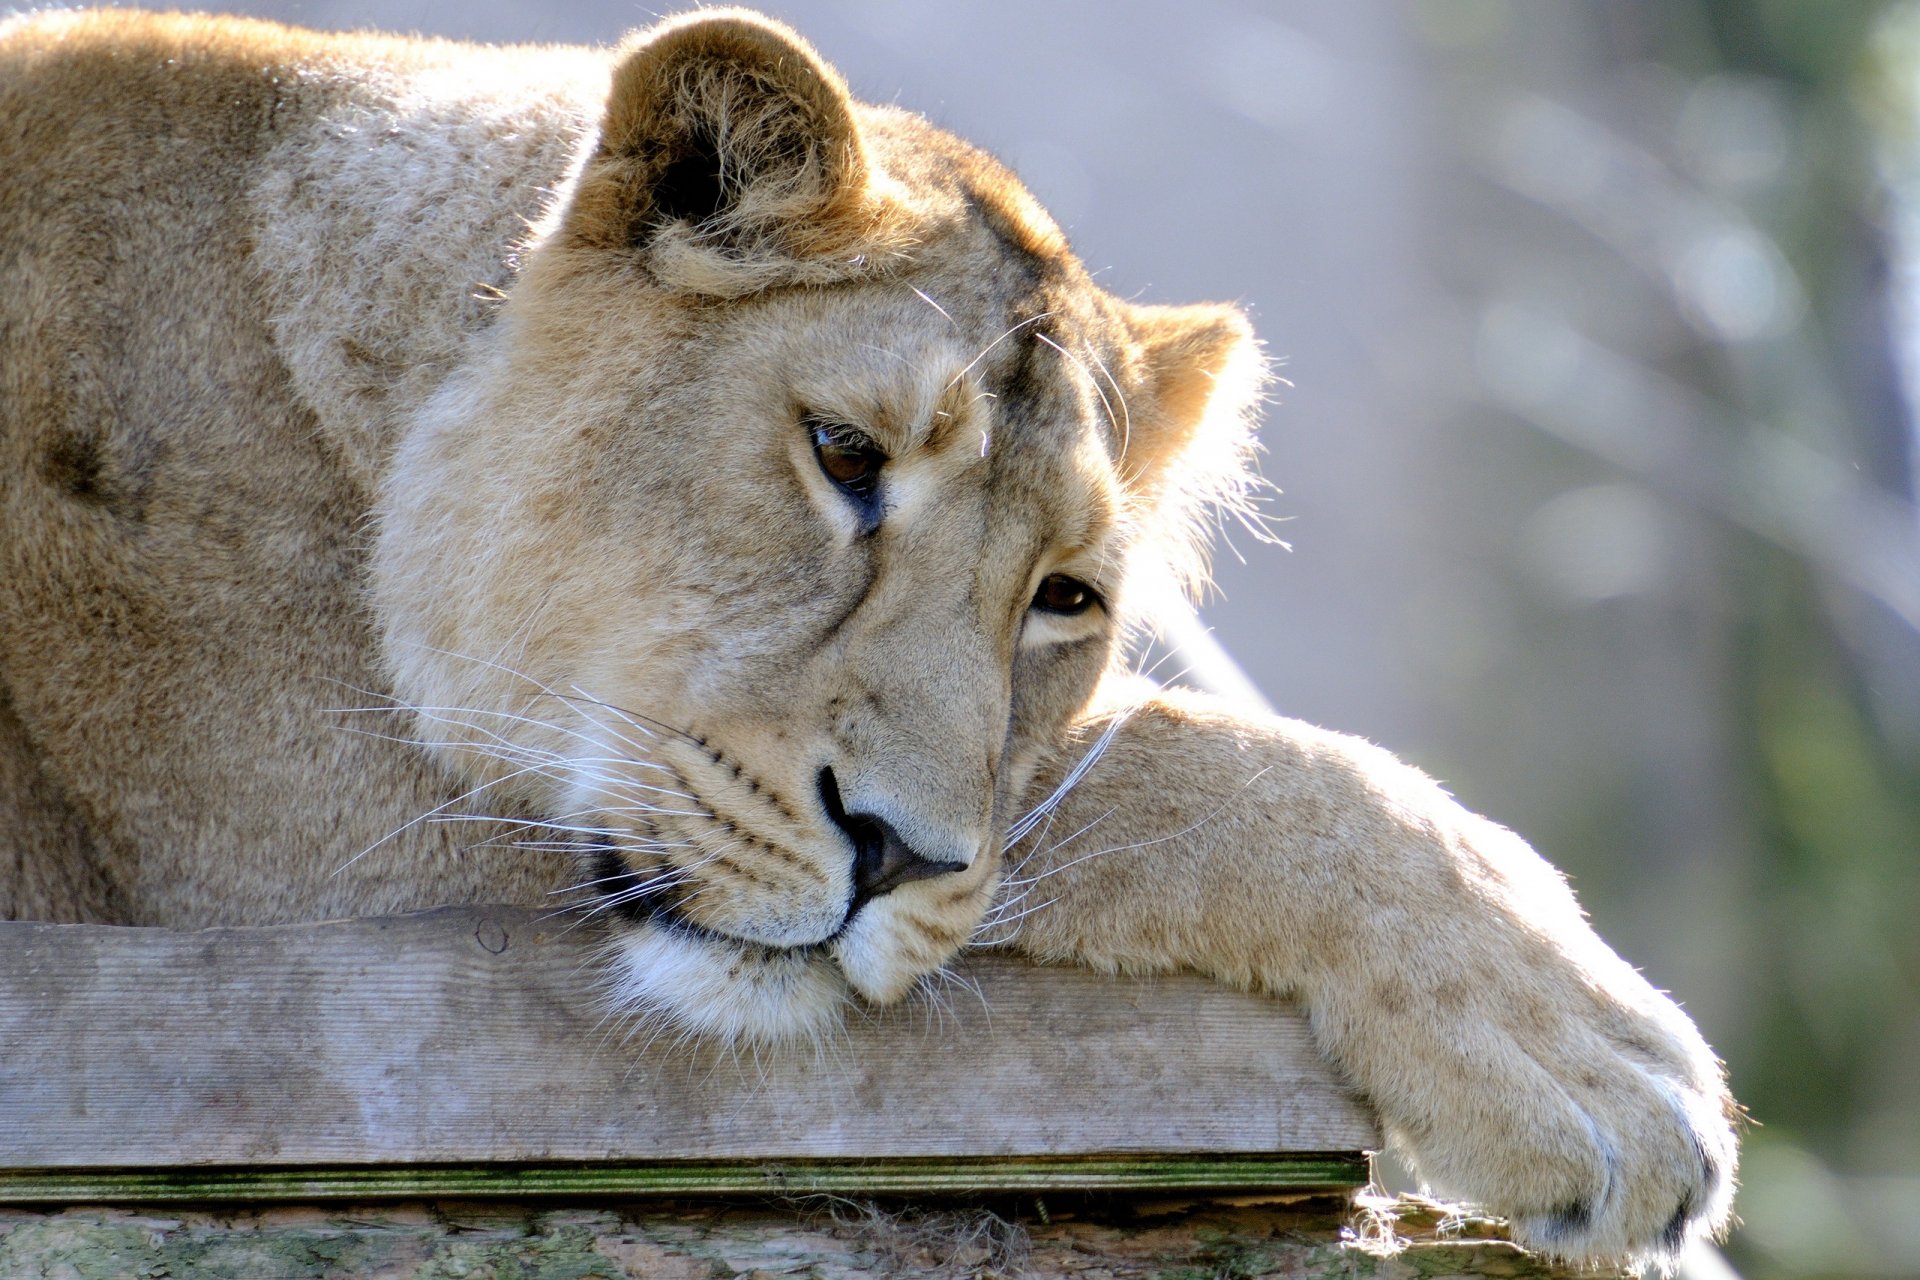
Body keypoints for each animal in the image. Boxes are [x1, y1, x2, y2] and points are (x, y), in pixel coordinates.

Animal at [0, 7, 1735, 1269]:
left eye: (1067, 598)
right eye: (844, 456)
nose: (893, 855)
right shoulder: (306, 875)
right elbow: (1161, 768)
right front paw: (1592, 1061)